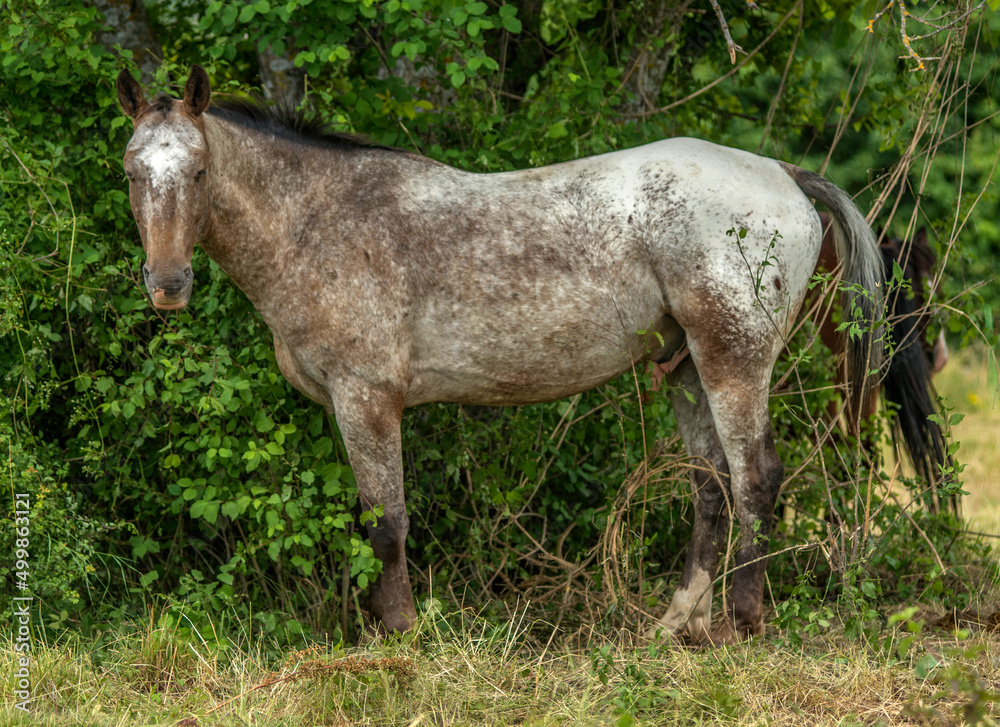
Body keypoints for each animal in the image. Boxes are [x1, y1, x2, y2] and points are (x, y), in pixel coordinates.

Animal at [115, 65, 883, 644]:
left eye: (200, 170)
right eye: (130, 172)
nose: (167, 284)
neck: (318, 221)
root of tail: (782, 172)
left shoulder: (368, 399)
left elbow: (386, 523)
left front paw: (400, 632)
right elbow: (369, 523)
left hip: (733, 360)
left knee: (756, 479)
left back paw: (741, 622)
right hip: (688, 366)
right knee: (712, 486)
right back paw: (673, 625)